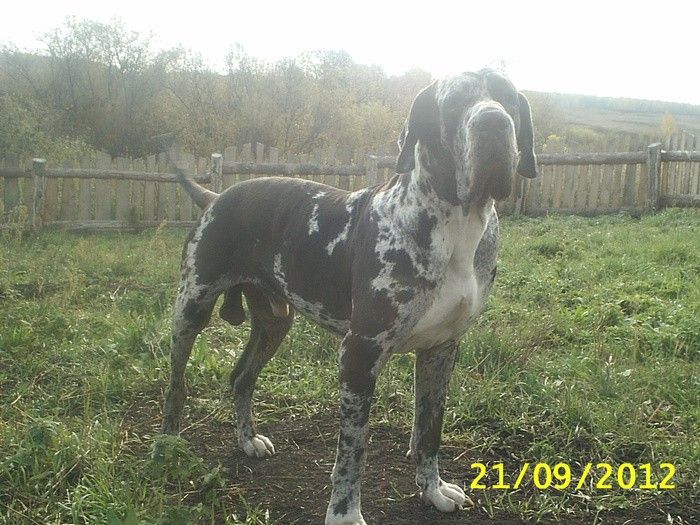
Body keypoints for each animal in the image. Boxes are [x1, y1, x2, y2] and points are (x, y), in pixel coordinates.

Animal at [161, 69, 537, 525]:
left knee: (241, 377)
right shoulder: (360, 353)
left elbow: (430, 429)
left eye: (509, 99)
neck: (457, 225)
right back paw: (167, 446)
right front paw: (344, 512)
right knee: (176, 385)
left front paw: (432, 489)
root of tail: (216, 196)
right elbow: (353, 449)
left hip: (274, 321)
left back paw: (248, 440)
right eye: (454, 102)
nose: (494, 123)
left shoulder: (441, 350)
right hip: (191, 308)